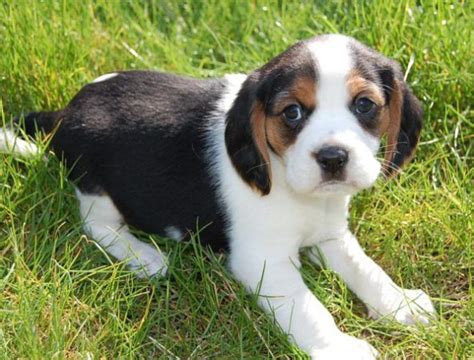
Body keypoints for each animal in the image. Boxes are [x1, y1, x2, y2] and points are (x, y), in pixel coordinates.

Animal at [1, 34, 436, 360]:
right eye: (292, 113)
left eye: (364, 105)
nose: (332, 158)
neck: (296, 190)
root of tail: (65, 114)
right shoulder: (262, 262)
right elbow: (308, 308)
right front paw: (341, 349)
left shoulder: (331, 235)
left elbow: (365, 269)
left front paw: (399, 304)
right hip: (97, 186)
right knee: (96, 224)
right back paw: (144, 257)